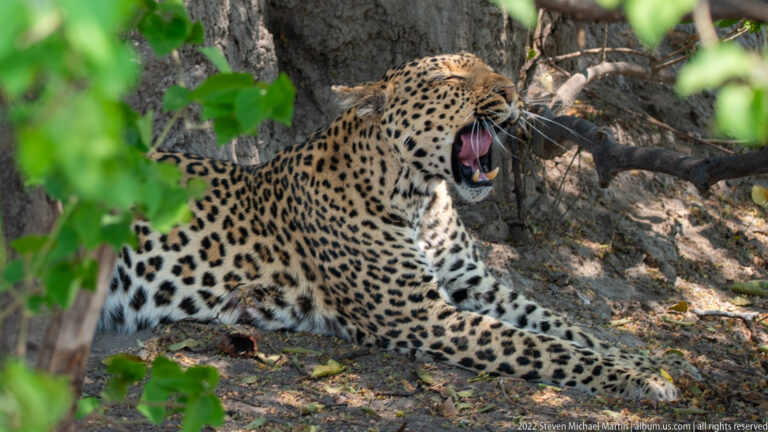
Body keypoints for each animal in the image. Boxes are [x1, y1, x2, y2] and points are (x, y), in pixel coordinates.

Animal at [98, 53, 698, 400]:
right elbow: (542, 347)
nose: (513, 92)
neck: (420, 197)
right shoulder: (420, 315)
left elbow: (564, 325)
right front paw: (639, 379)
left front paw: (651, 360)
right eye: (452, 77)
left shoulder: (475, 284)